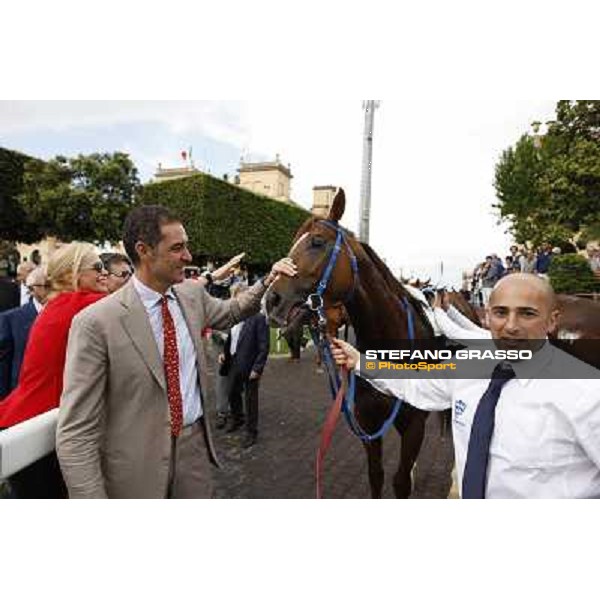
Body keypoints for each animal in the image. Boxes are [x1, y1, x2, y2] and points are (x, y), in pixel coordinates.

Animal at [264, 188, 438, 496]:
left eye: (317, 242)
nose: (272, 300)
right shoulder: (368, 421)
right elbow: (376, 476)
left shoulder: (415, 424)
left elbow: (401, 482)